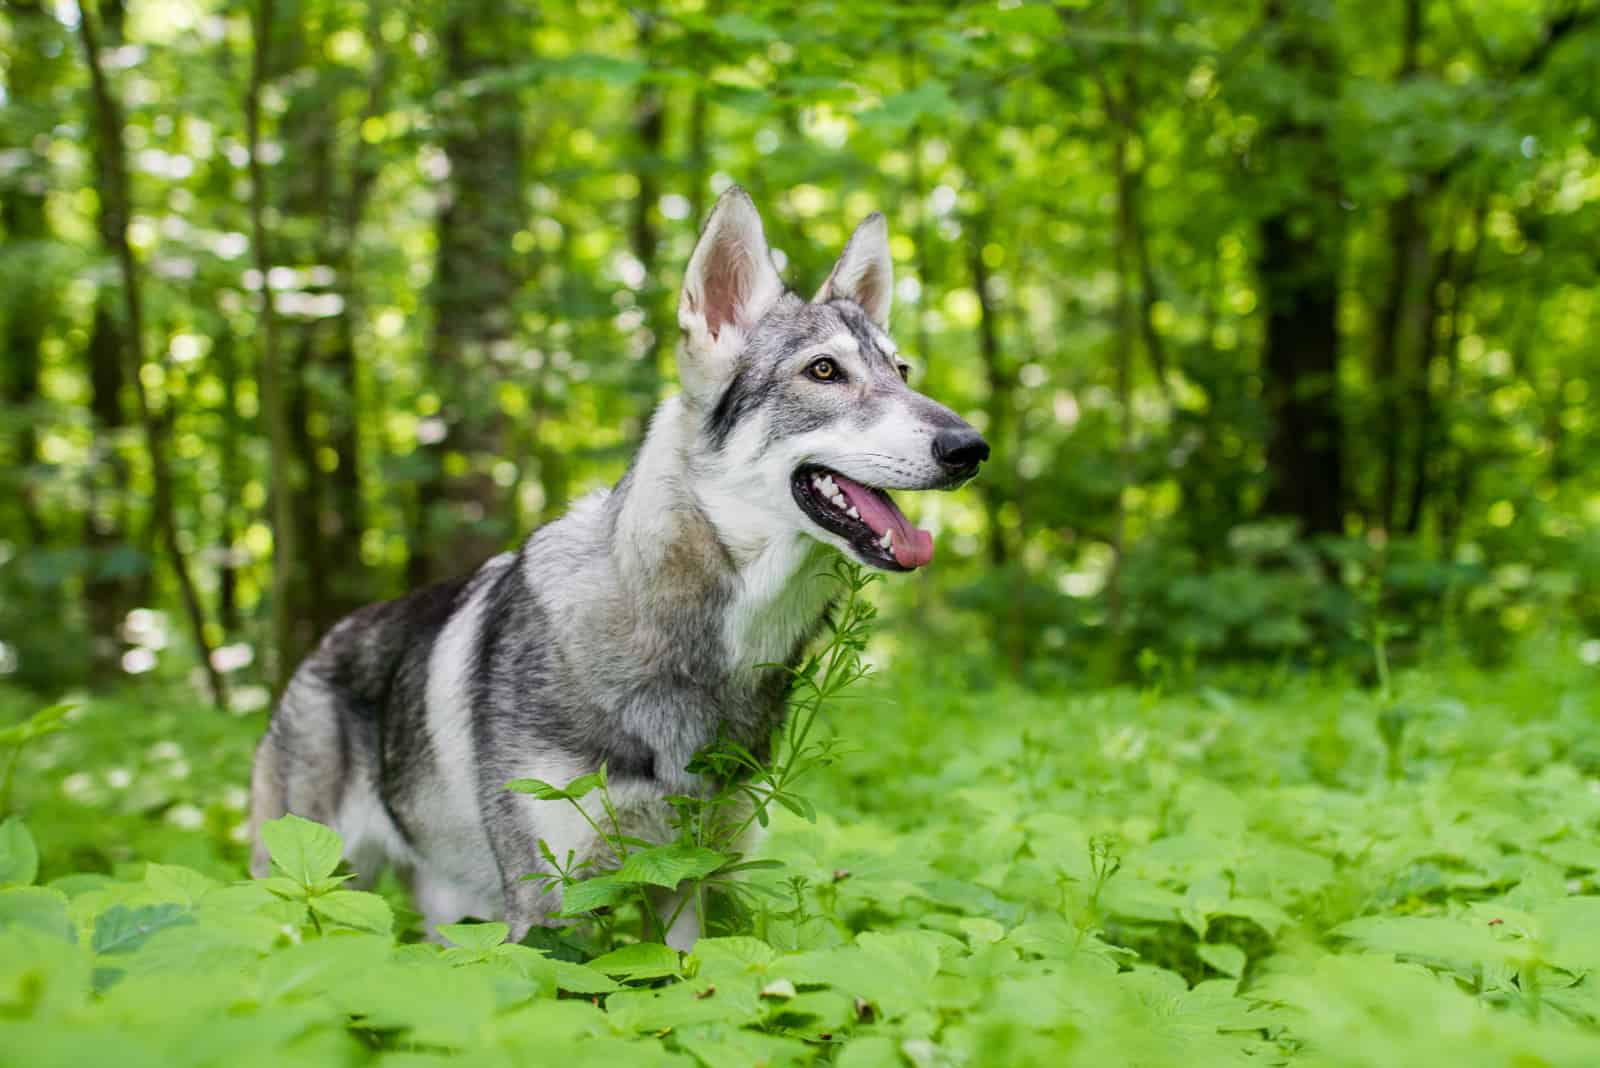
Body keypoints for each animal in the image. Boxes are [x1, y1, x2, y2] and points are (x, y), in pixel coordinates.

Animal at [248, 187, 985, 946]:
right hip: (312, 895)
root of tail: (320, 647)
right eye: (824, 371)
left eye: (901, 373)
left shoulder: (688, 880)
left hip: (454, 912)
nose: (971, 447)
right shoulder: (548, 908)